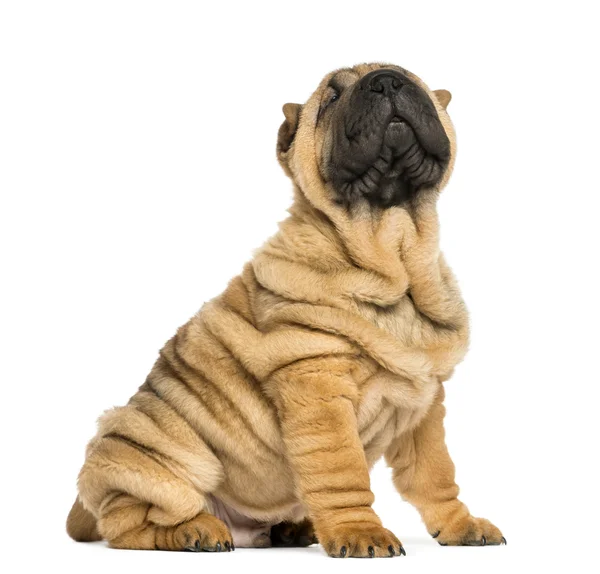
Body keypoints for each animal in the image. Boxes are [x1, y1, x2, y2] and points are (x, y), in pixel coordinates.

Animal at [67, 62, 506, 560]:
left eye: (412, 80)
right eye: (331, 97)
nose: (387, 80)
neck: (395, 256)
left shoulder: (423, 403)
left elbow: (436, 474)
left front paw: (461, 525)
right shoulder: (318, 387)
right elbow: (343, 474)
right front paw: (361, 532)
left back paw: (293, 529)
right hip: (155, 452)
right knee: (129, 522)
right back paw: (194, 531)